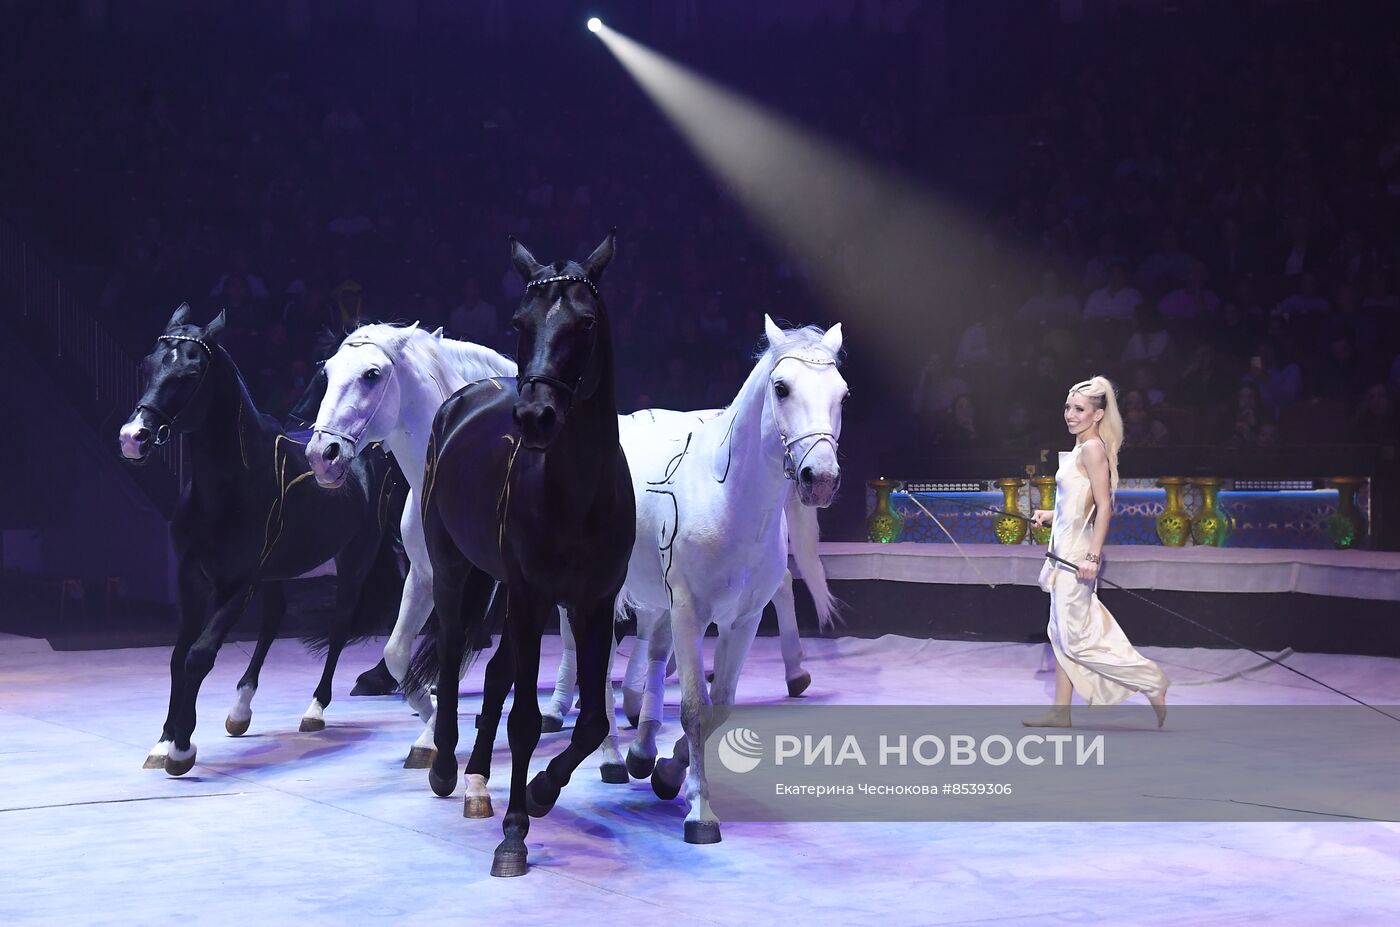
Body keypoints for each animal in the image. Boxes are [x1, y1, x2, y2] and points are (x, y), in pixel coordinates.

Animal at [119, 305, 406, 778]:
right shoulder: (191, 578)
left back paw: (315, 709)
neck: (233, 484)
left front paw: (181, 748)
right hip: (278, 572)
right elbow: (178, 655)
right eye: (147, 364)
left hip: (354, 559)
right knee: (274, 619)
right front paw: (163, 742)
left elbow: (199, 655)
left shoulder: (239, 582)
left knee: (339, 625)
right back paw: (240, 710)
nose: (134, 437)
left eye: (190, 373)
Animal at [408, 232, 635, 879]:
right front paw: (514, 835)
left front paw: (538, 792)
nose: (535, 417)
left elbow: (592, 720)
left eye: (585, 323)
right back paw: (446, 768)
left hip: (509, 593)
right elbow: (528, 719)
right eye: (519, 322)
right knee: (454, 653)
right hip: (457, 572)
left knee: (492, 675)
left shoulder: (591, 605)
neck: (577, 494)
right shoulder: (534, 599)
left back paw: (480, 779)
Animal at [621, 317, 845, 840]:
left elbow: (717, 707)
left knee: (653, 655)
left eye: (842, 394)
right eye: (781, 388)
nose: (821, 478)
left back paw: (641, 751)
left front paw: (671, 774)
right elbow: (693, 708)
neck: (725, 498)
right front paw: (701, 812)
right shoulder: (688, 612)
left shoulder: (742, 621)